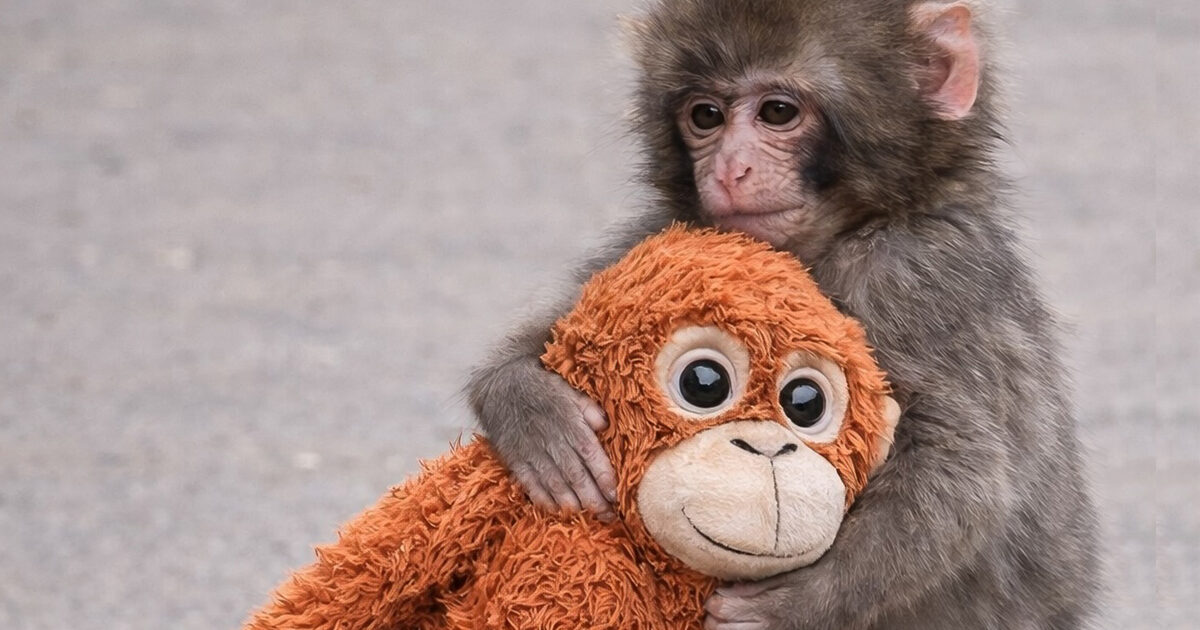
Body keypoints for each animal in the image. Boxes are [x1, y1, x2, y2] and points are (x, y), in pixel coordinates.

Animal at [467, 1, 1101, 629]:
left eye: (777, 112)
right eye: (706, 116)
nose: (728, 170)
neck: (841, 232)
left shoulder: (916, 276)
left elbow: (964, 473)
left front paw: (793, 605)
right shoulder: (672, 234)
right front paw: (534, 412)